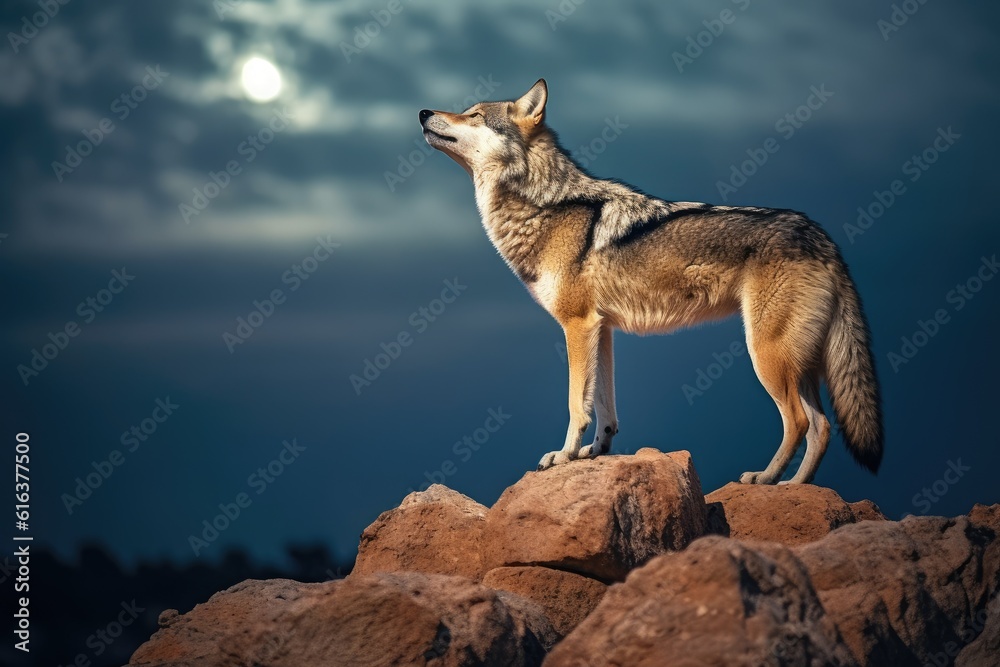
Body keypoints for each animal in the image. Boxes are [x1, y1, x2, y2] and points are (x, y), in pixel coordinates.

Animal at [419, 79, 883, 484]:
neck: (545, 204)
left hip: (767, 354)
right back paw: (795, 487)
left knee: (801, 421)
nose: (423, 112)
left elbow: (576, 405)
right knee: (822, 426)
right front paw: (594, 452)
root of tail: (821, 235)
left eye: (474, 115)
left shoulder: (577, 324)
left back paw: (765, 479)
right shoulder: (601, 329)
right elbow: (604, 408)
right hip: (797, 362)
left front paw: (565, 455)